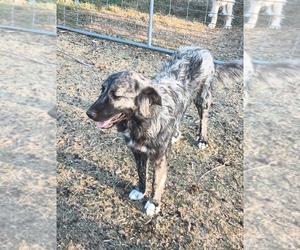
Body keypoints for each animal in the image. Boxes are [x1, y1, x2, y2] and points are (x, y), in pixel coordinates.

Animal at [85, 47, 243, 216]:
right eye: (102, 89)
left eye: (117, 95)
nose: (89, 113)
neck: (141, 122)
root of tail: (201, 49)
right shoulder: (138, 152)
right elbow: (141, 173)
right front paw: (140, 190)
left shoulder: (159, 157)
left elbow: (157, 181)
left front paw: (154, 203)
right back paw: (175, 134)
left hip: (202, 99)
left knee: (204, 118)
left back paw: (202, 138)